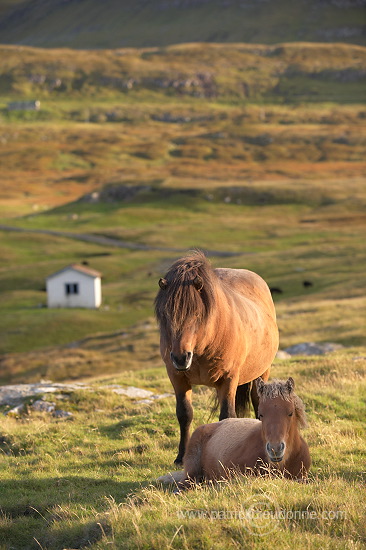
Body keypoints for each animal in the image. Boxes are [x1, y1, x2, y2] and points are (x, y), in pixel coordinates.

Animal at [154, 251, 278, 466]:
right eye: (165, 315)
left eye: (196, 314)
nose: (180, 358)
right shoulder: (177, 378)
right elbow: (184, 414)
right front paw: (181, 457)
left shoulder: (228, 379)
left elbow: (227, 416)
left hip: (262, 372)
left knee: (257, 400)